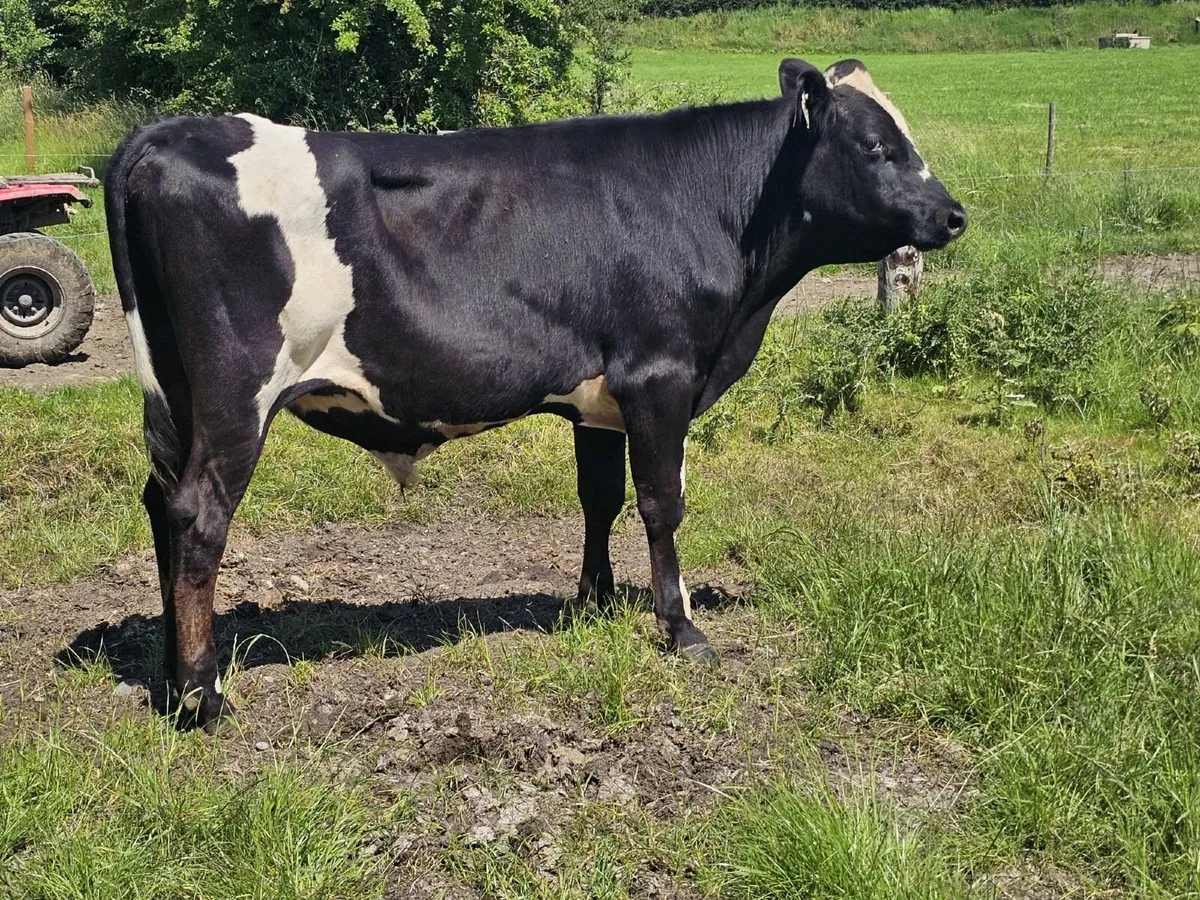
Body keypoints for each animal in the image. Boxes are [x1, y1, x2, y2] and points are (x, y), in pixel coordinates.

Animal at [105, 57, 966, 731]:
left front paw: (595, 601)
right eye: (878, 145)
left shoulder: (602, 397)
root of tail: (172, 134)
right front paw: (680, 627)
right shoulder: (661, 375)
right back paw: (204, 696)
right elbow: (662, 502)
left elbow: (601, 497)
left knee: (160, 503)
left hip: (175, 392)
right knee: (199, 515)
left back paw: (170, 675)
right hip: (236, 392)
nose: (954, 215)